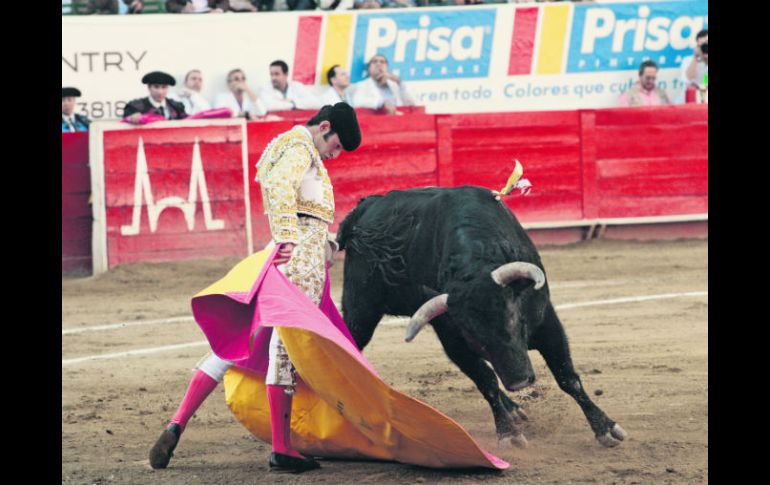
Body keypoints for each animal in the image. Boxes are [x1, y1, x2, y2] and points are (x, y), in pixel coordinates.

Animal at [336, 185, 624, 446]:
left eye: (512, 316)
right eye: (471, 334)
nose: (519, 381)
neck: (474, 265)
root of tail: (366, 205)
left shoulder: (547, 322)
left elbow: (567, 377)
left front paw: (605, 428)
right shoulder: (453, 339)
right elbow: (486, 380)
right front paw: (508, 434)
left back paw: (514, 407)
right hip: (360, 310)